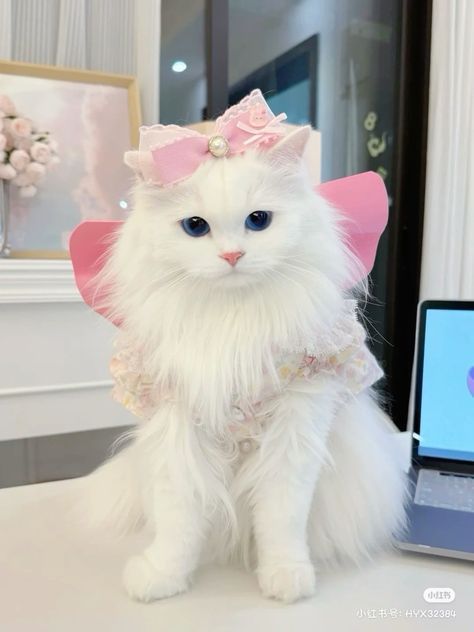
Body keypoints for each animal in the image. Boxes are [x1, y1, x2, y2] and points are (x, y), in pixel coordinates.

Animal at [81, 122, 408, 604]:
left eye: (259, 220)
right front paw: (163, 576)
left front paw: (286, 576)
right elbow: (178, 517)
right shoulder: (178, 427)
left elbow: (281, 514)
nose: (232, 256)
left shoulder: (295, 425)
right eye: (195, 227)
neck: (232, 320)